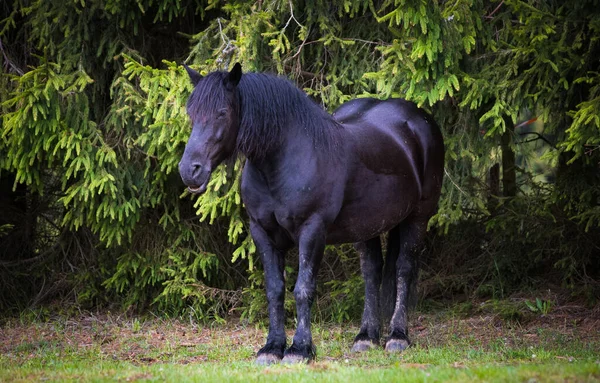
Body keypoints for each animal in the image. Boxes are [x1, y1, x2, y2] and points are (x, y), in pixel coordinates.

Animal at [179, 63, 446, 366]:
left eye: (222, 112)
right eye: (191, 113)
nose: (190, 170)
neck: (285, 161)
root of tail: (418, 120)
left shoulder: (312, 230)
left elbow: (303, 288)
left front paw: (299, 349)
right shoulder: (262, 232)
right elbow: (275, 289)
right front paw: (271, 348)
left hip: (418, 217)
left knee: (404, 269)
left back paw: (398, 336)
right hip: (366, 225)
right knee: (371, 271)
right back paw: (366, 337)